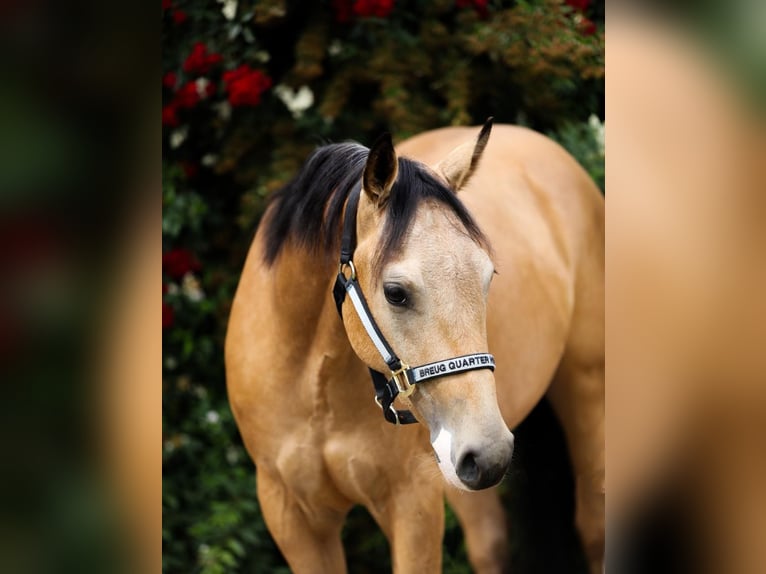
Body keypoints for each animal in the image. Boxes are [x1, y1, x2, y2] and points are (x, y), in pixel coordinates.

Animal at [225, 120, 604, 573]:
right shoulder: (291, 515)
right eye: (395, 293)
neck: (314, 385)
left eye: (489, 276)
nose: (492, 452)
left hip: (580, 390)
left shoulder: (413, 500)